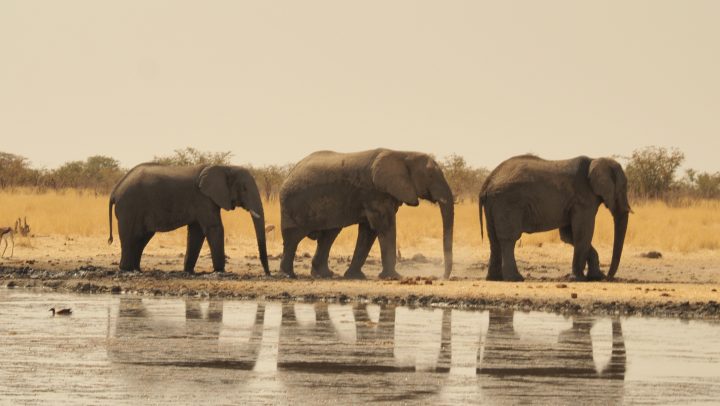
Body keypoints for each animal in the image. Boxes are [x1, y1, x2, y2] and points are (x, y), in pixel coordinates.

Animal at [108, 163, 270, 274]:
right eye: (244, 189)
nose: (268, 274)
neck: (225, 167)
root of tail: (115, 190)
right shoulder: (203, 199)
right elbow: (214, 228)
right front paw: (220, 272)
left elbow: (196, 233)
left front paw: (188, 271)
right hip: (129, 207)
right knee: (131, 237)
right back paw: (126, 270)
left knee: (141, 237)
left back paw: (137, 269)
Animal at [279, 148, 454, 280]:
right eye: (430, 175)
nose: (441, 277)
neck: (403, 154)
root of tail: (290, 173)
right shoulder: (374, 192)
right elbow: (384, 227)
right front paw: (395, 277)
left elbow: (368, 231)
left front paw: (355, 277)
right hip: (292, 205)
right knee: (293, 239)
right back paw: (289, 276)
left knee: (329, 235)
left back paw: (324, 275)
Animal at [479, 155, 630, 282]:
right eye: (624, 188)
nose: (608, 278)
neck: (595, 160)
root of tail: (487, 181)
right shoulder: (583, 200)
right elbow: (583, 233)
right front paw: (579, 279)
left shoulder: (574, 203)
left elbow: (569, 236)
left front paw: (596, 277)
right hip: (508, 203)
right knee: (509, 239)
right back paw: (516, 279)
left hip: (494, 204)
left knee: (494, 239)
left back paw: (494, 279)